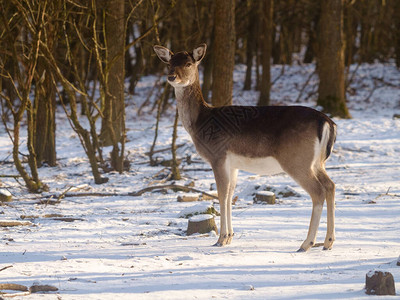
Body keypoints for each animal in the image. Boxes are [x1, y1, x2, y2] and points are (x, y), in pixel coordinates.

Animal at [155, 43, 336, 252]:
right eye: (169, 63)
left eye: (188, 63)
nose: (171, 77)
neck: (200, 122)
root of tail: (327, 122)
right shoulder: (233, 165)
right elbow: (229, 196)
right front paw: (229, 237)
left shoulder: (217, 156)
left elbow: (221, 195)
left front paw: (220, 239)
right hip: (317, 162)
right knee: (330, 186)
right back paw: (328, 242)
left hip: (297, 160)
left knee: (318, 191)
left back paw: (306, 244)